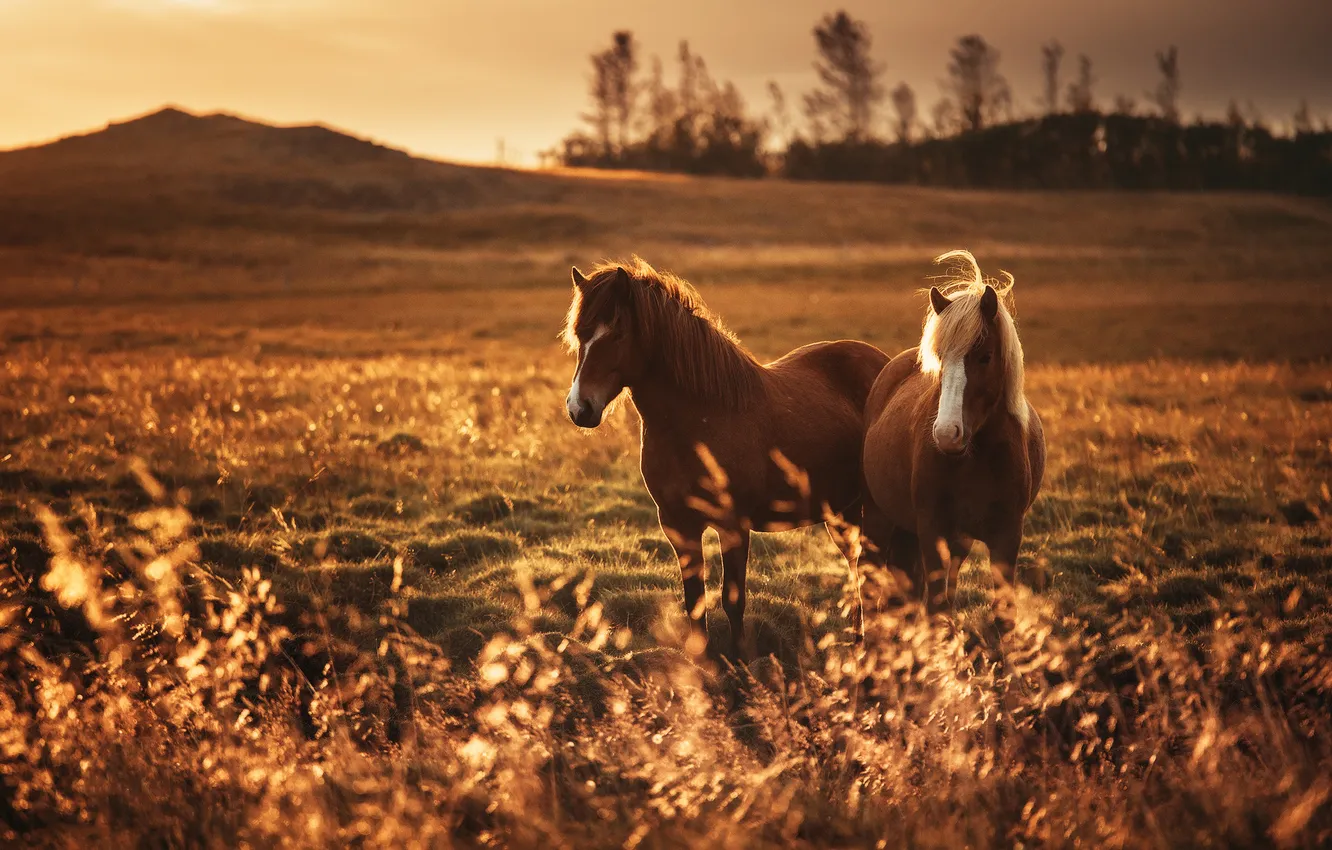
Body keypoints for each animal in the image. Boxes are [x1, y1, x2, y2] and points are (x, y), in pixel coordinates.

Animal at [562, 258, 889, 656]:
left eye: (617, 335)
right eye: (580, 335)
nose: (580, 408)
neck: (700, 420)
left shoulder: (733, 526)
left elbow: (733, 599)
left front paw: (742, 662)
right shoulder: (679, 526)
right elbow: (694, 600)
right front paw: (702, 663)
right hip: (842, 513)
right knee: (860, 568)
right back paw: (859, 643)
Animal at [860, 250, 1046, 614]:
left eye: (985, 356)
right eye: (940, 359)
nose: (947, 434)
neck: (977, 458)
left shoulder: (1006, 538)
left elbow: (1000, 615)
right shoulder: (933, 532)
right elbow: (935, 608)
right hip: (880, 519)